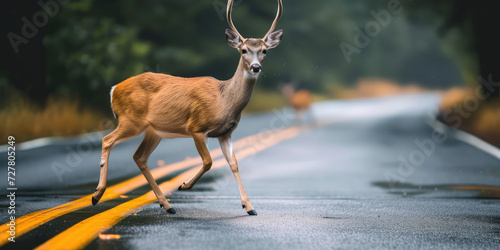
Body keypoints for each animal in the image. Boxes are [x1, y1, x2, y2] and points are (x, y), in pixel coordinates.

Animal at [91, 0, 284, 216]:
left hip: (153, 130)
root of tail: (114, 89)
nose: (256, 67)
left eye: (264, 50)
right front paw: (184, 185)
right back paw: (97, 195)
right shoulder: (197, 127)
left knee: (139, 157)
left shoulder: (225, 133)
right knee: (107, 140)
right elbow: (208, 161)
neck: (224, 100)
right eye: (243, 50)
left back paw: (167, 205)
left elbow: (234, 164)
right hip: (131, 120)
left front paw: (249, 207)